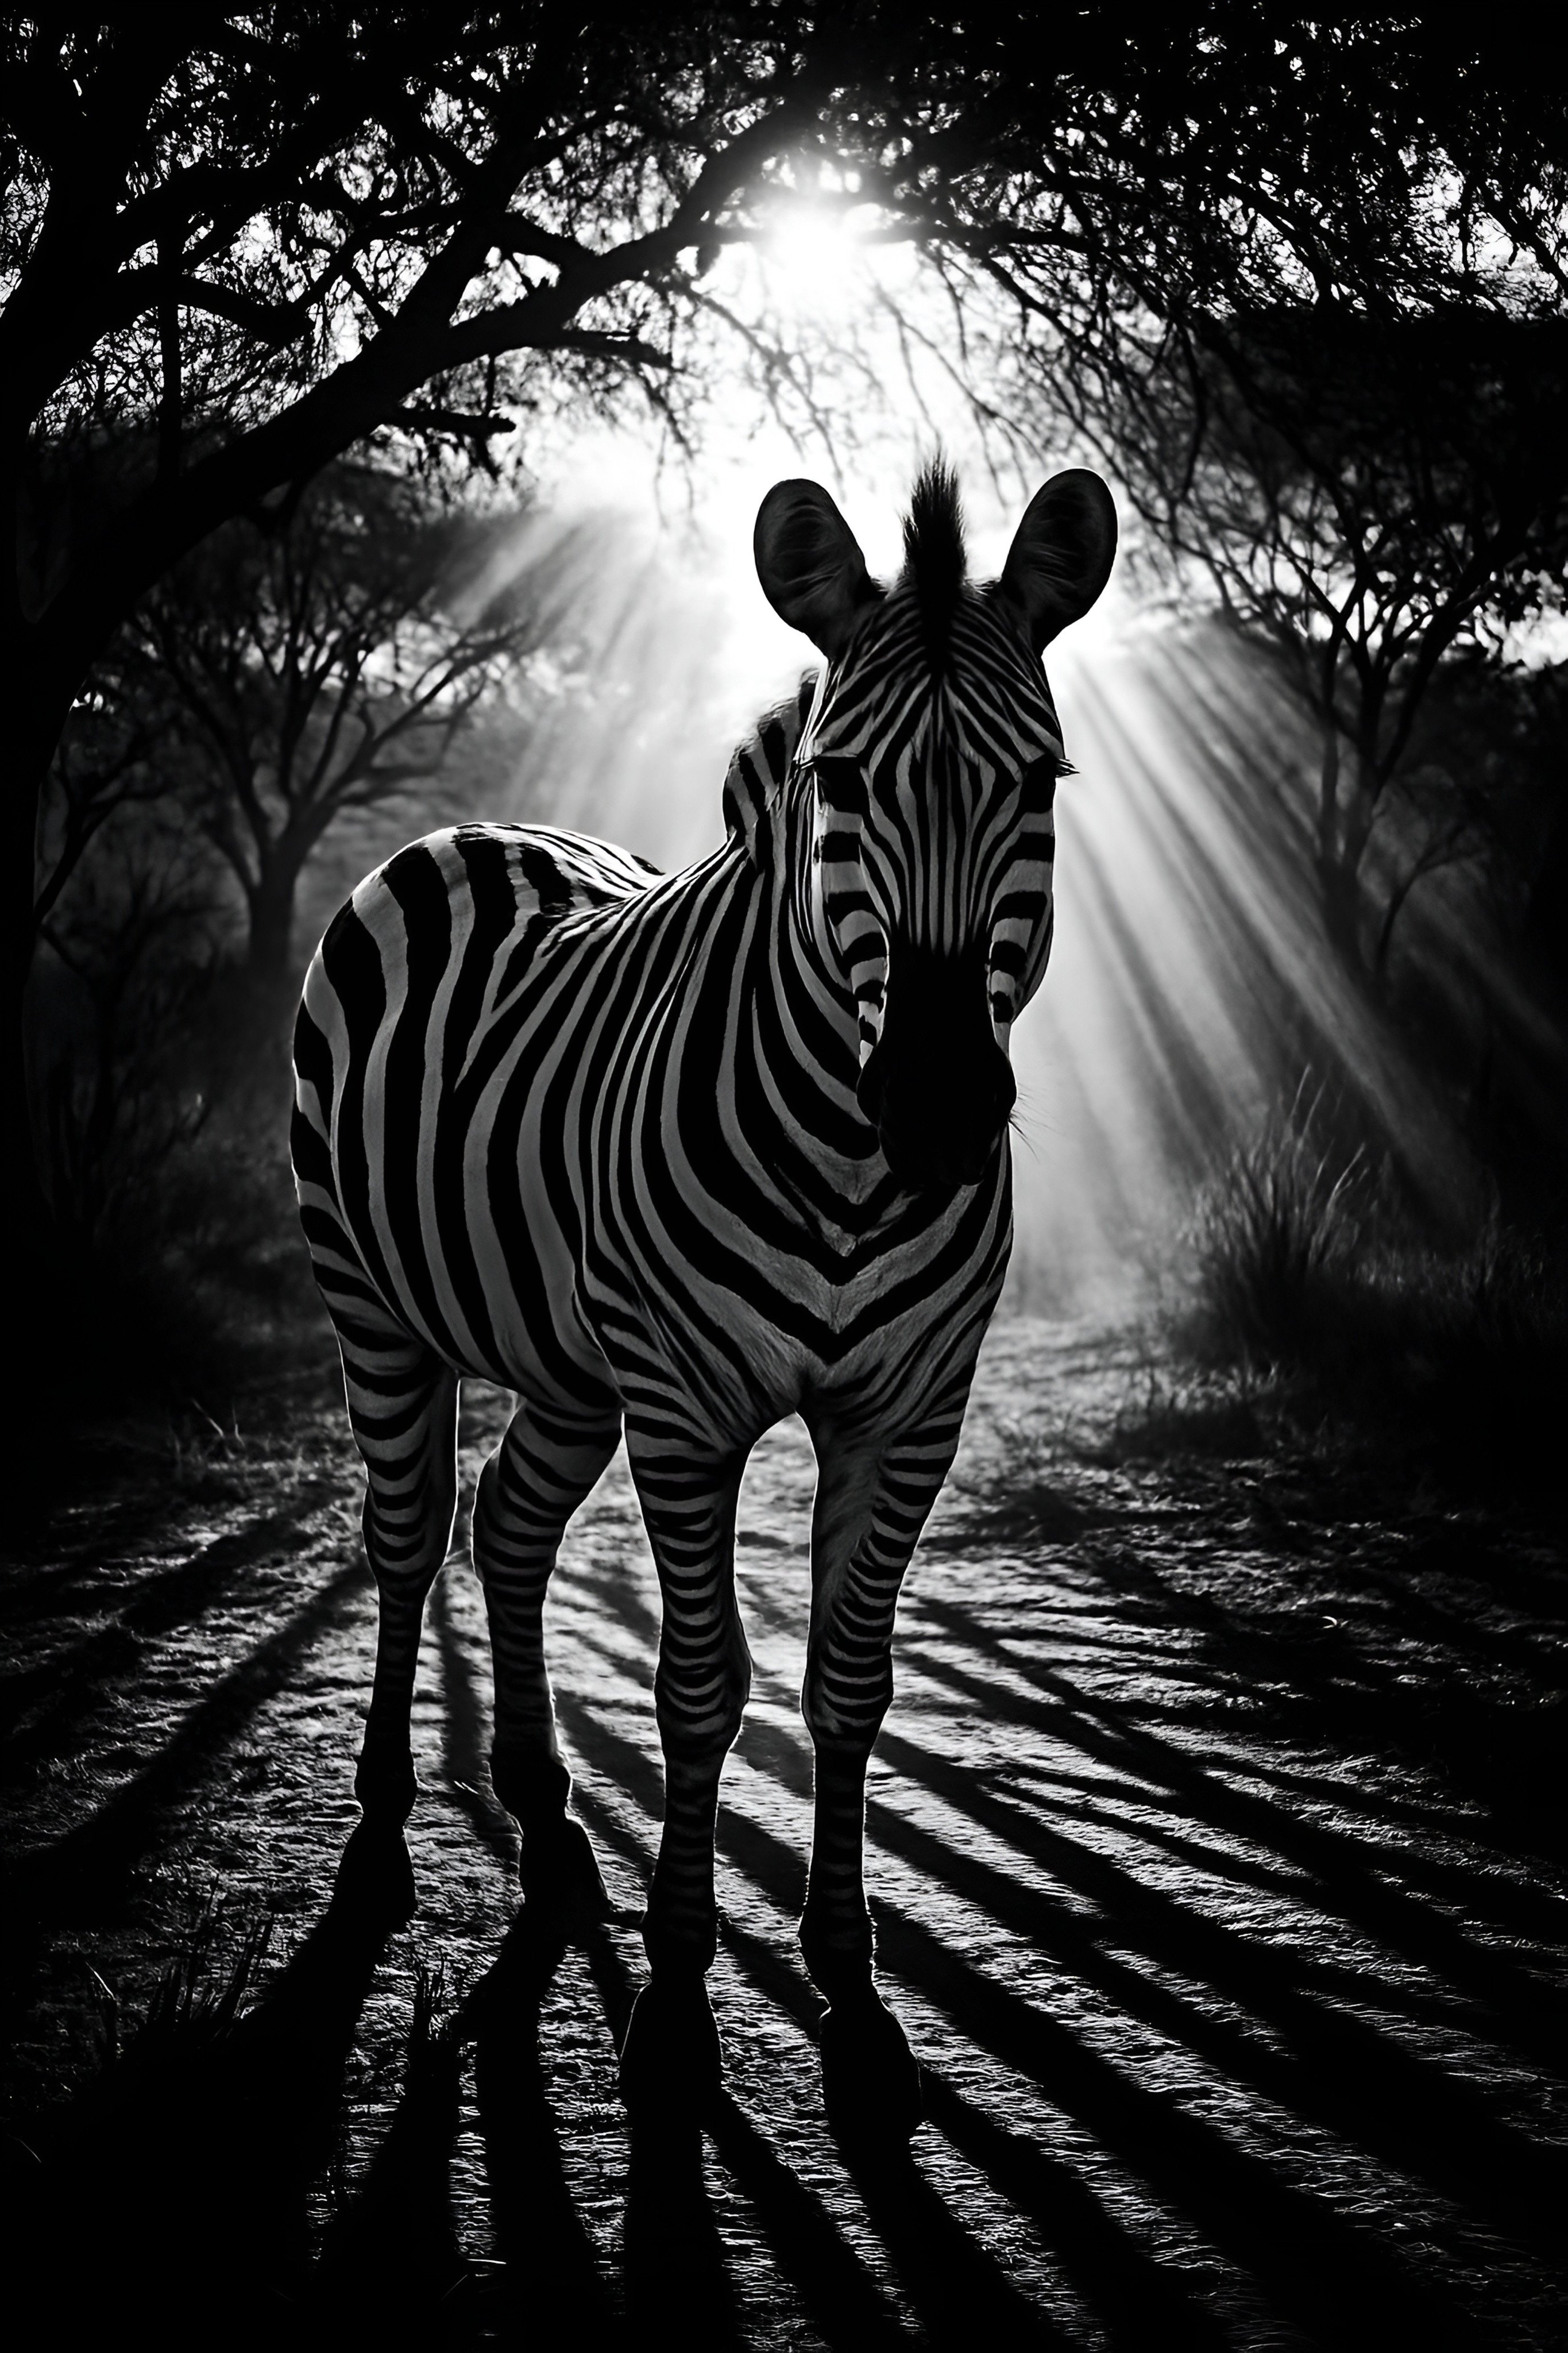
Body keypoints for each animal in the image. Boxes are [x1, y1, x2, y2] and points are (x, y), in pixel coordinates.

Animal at [291, 459, 1116, 2132]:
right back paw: (387, 1832)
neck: (852, 1170)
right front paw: (675, 2002)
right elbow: (699, 1687)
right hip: (377, 1310)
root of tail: (466, 831)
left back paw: (543, 1811)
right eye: (840, 782)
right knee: (406, 1540)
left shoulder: (910, 1411)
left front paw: (855, 1987)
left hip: (565, 1360)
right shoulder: (689, 1409)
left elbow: (850, 1682)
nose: (939, 1110)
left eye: (1042, 784)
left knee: (509, 1527)